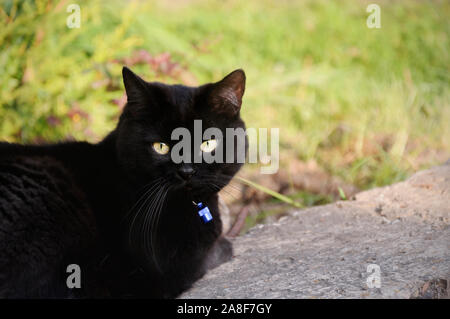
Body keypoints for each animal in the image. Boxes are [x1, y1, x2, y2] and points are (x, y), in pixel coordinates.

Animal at [0, 66, 246, 298]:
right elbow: (215, 253)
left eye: (207, 144)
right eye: (160, 147)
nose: (186, 171)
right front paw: (225, 244)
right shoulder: (169, 266)